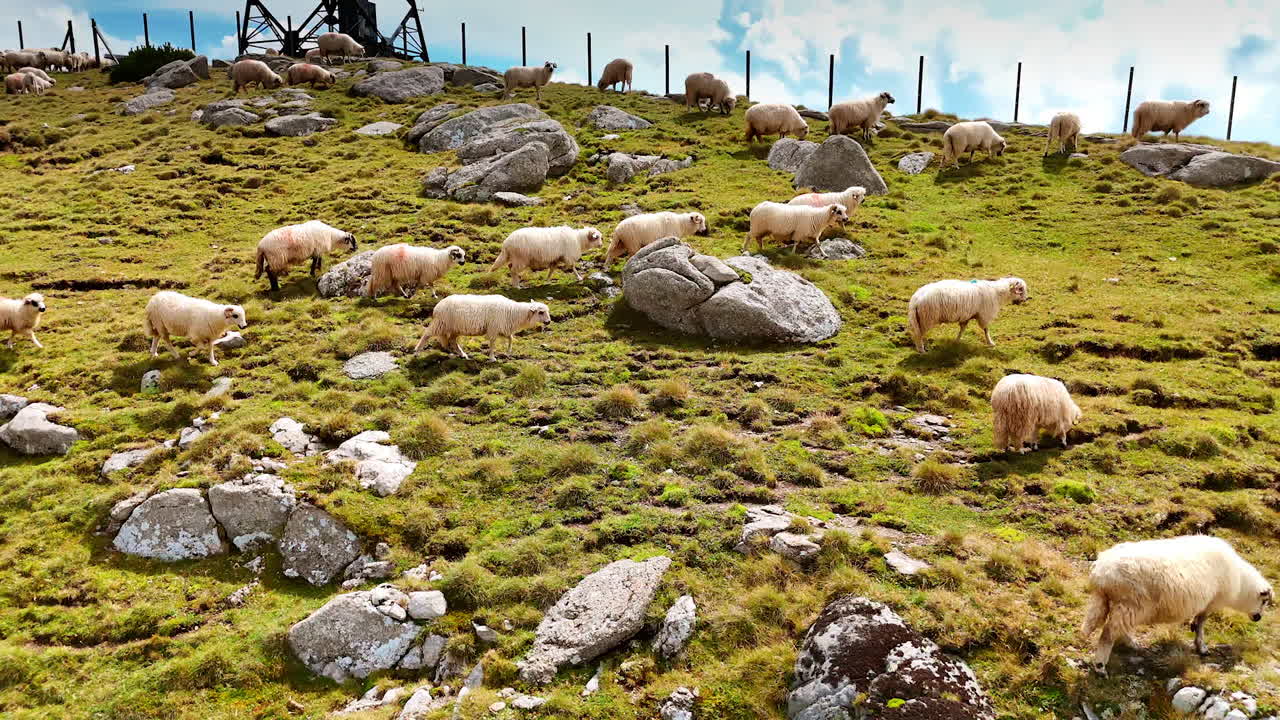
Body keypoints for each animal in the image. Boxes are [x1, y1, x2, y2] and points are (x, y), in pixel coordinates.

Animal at [413, 294, 551, 360]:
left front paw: (508, 352)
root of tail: (437, 306)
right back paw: (416, 351)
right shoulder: (494, 328)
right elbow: (493, 343)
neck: (512, 312)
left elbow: (511, 338)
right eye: (541, 312)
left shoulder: (502, 328)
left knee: (452, 341)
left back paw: (462, 354)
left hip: (455, 328)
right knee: (427, 334)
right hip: (441, 323)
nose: (549, 322)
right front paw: (492, 357)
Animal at [1083, 535, 1273, 676]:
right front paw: (1202, 647)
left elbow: (1198, 621)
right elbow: (1202, 623)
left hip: (1111, 602)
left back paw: (1131, 643)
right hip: (1132, 604)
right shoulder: (1212, 602)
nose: (1258, 618)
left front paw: (1195, 631)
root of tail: (1101, 571)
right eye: (1264, 600)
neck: (1241, 583)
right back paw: (1100, 667)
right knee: (1108, 634)